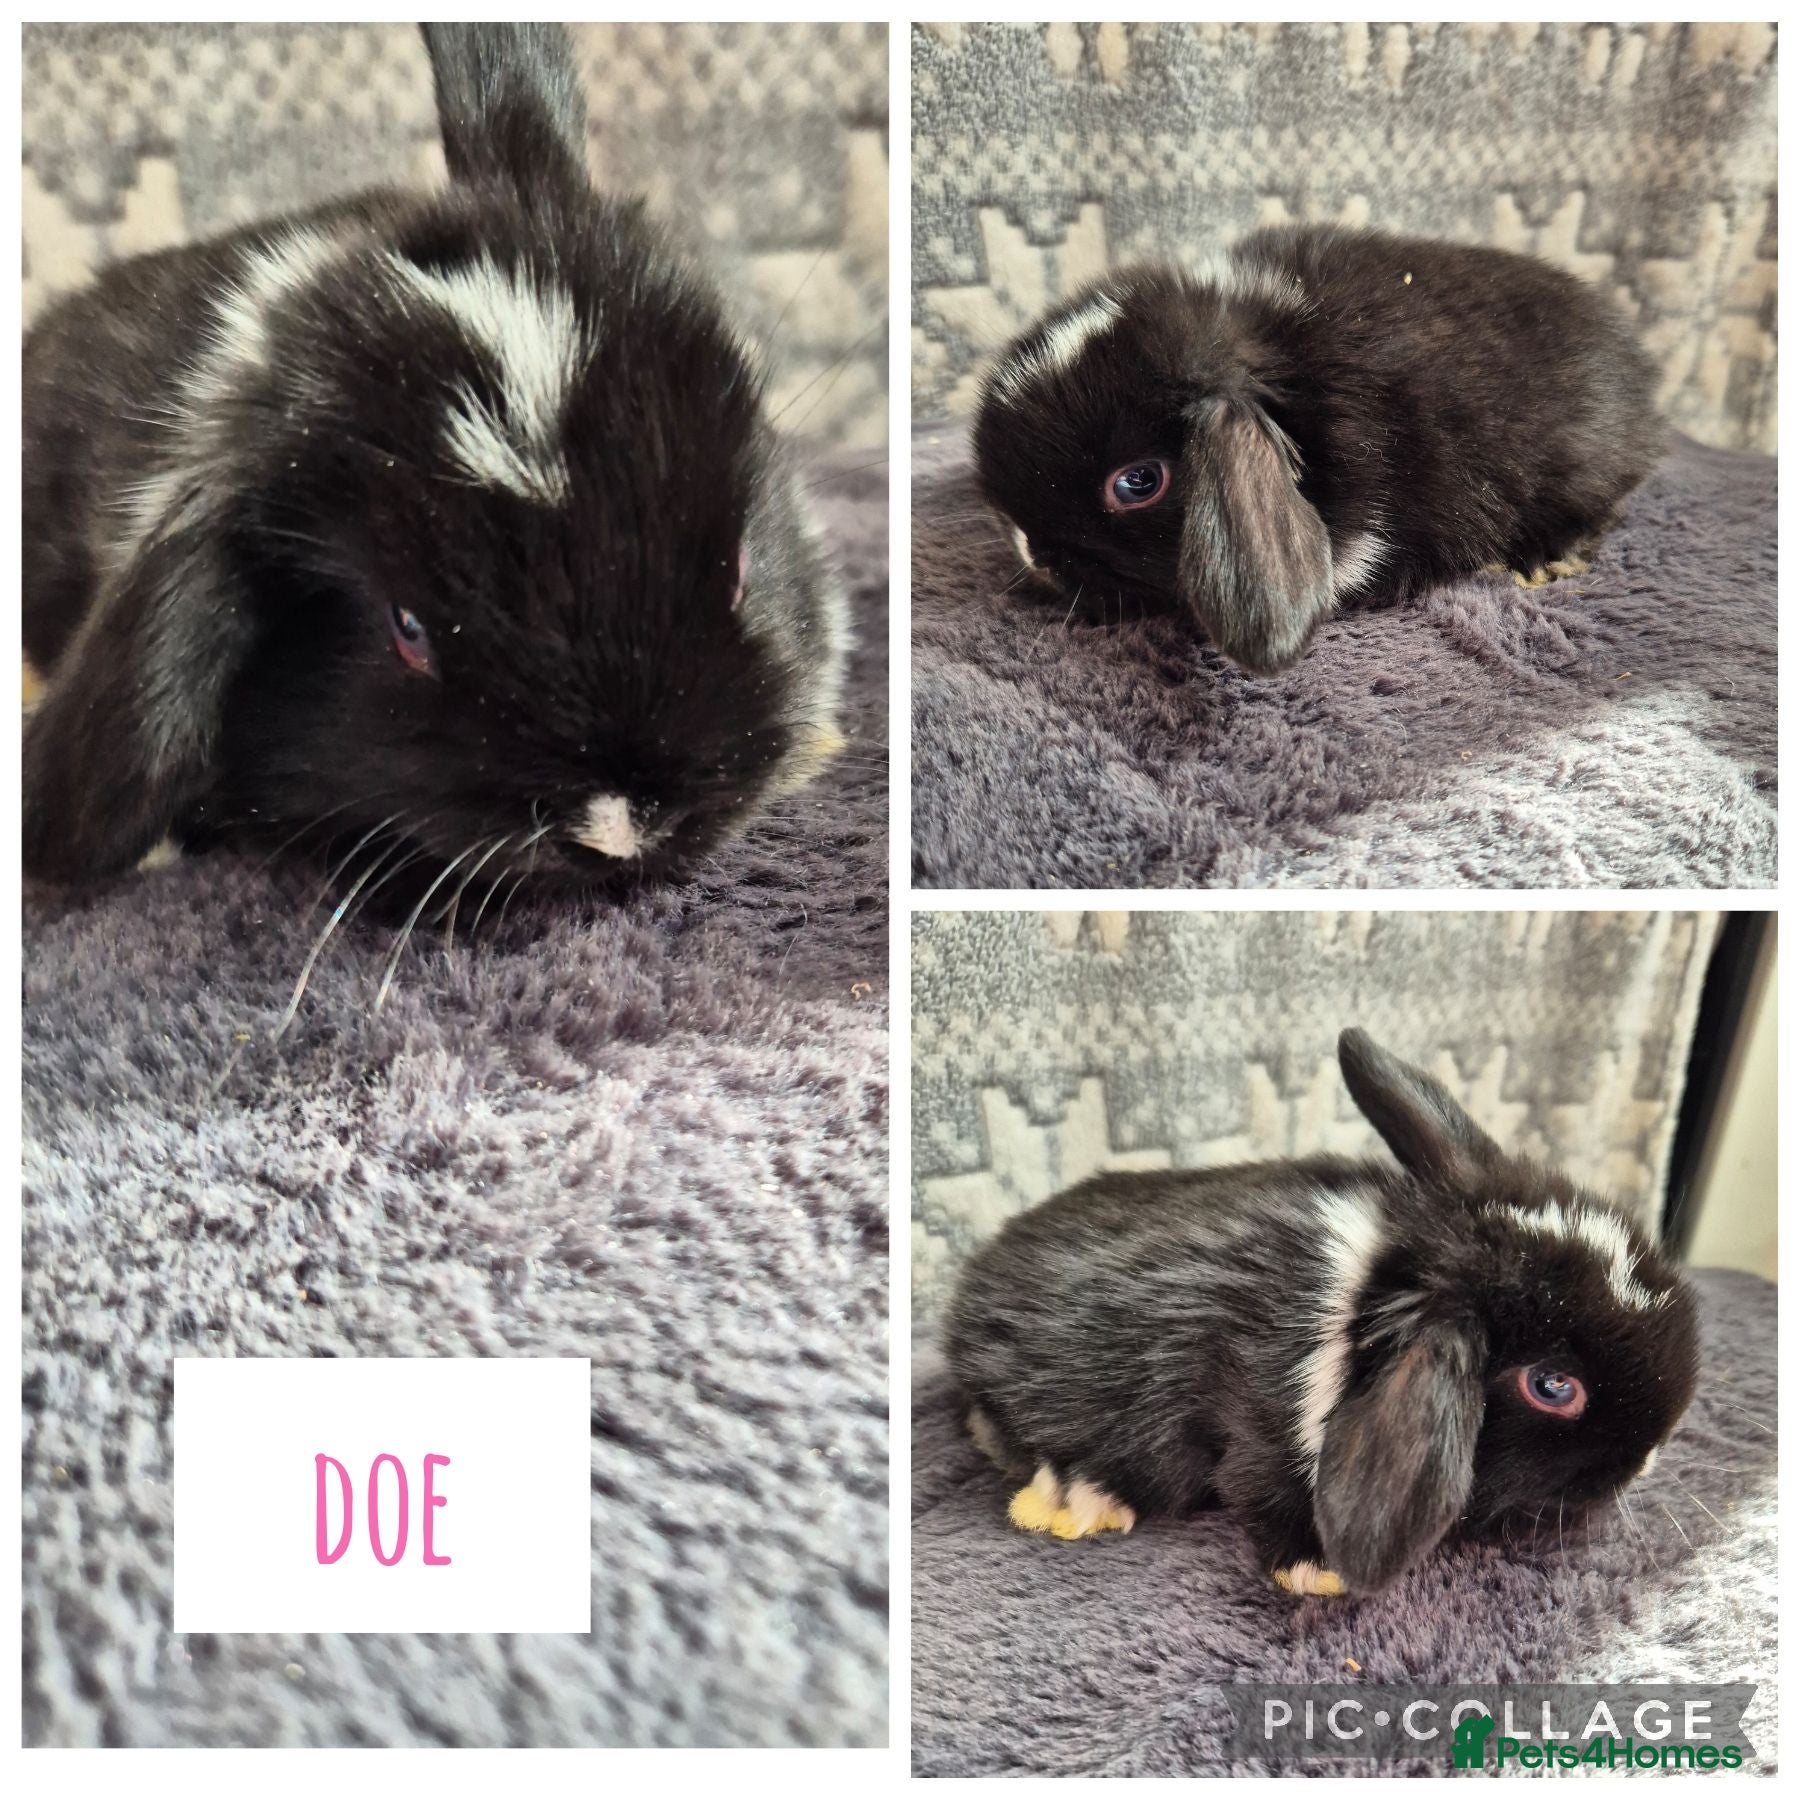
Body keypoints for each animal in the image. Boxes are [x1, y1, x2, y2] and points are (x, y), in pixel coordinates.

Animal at [944, 1028, 1699, 1597]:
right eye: (1552, 1386)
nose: (1650, 1457)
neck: (1364, 1301)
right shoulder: (1254, 1427)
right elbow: (1261, 1487)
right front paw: (1320, 1571)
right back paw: (1078, 1495)